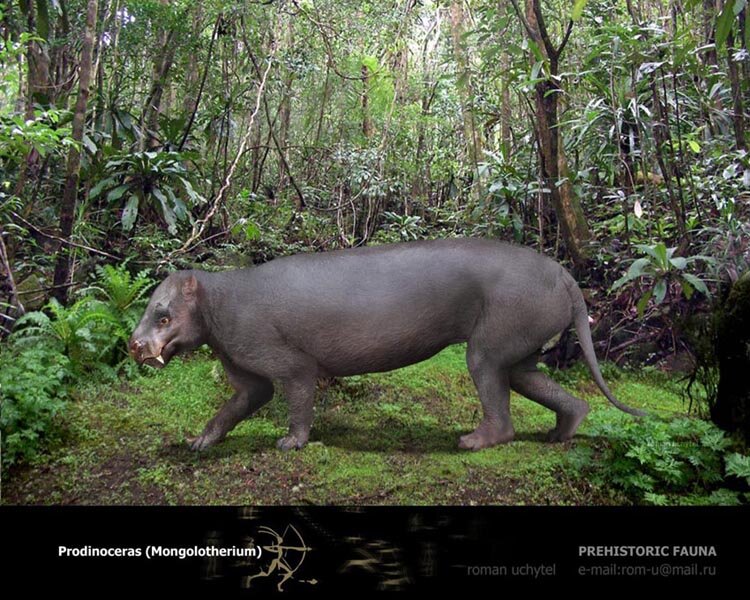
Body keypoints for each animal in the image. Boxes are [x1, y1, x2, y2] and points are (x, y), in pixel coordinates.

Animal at [130, 238, 644, 452]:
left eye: (163, 314)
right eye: (150, 307)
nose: (135, 344)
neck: (217, 303)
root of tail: (566, 276)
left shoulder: (291, 367)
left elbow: (298, 409)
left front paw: (291, 444)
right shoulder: (249, 379)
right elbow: (226, 412)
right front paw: (198, 442)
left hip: (486, 351)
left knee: (501, 417)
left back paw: (473, 442)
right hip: (518, 352)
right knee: (560, 396)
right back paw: (562, 433)